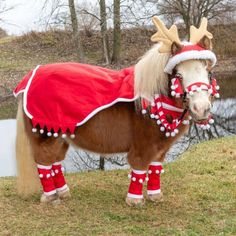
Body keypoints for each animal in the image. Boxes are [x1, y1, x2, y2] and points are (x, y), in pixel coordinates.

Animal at [14, 16, 218, 206]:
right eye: (178, 75)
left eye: (208, 73)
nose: (201, 109)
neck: (152, 99)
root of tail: (31, 76)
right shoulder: (143, 145)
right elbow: (139, 169)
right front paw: (135, 200)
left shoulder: (161, 148)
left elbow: (155, 169)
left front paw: (155, 196)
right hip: (45, 135)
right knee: (43, 163)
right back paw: (51, 197)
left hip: (61, 135)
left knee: (55, 162)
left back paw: (63, 192)